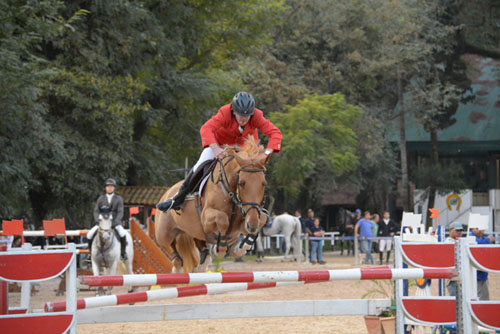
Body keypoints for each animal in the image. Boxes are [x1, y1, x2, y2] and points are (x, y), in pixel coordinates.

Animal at [156, 136, 272, 274]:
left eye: (264, 184)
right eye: (242, 183)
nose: (252, 224)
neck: (230, 191)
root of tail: (167, 192)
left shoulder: (245, 219)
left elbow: (262, 219)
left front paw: (240, 248)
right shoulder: (206, 218)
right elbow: (222, 219)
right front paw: (220, 248)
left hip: (192, 231)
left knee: (198, 242)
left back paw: (202, 262)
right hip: (163, 233)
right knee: (170, 244)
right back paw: (178, 263)